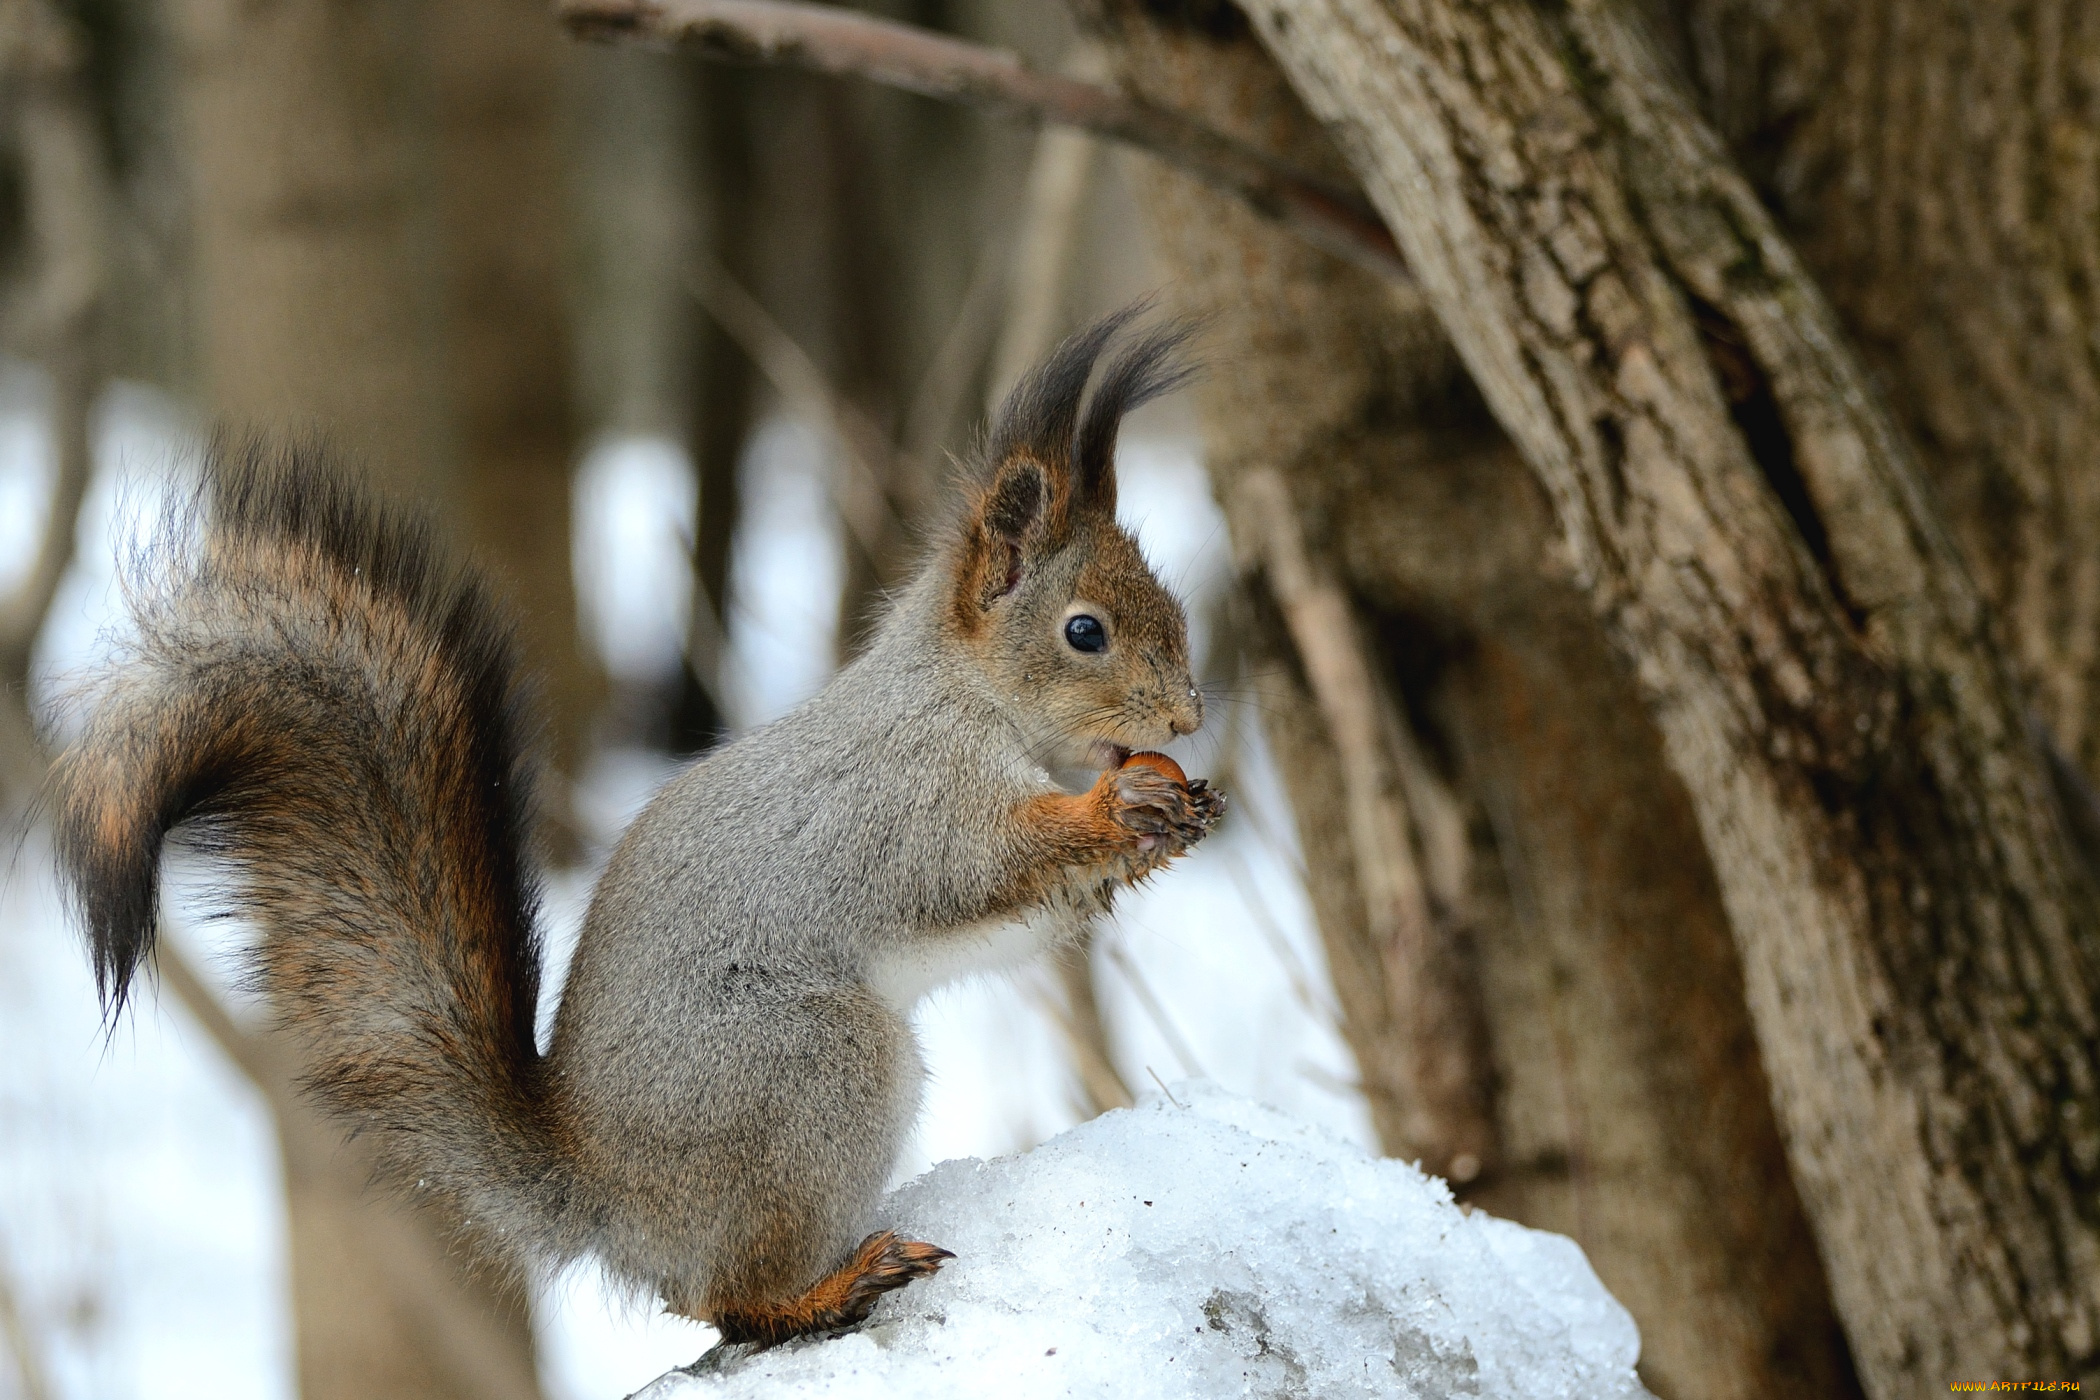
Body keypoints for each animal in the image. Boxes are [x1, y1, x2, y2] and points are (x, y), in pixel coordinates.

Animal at [49, 308, 1226, 1343]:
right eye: (1085, 632)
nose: (1187, 717)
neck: (970, 696)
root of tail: (607, 1197)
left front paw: (1176, 810)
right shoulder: (905, 800)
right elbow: (981, 863)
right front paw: (1118, 805)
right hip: (810, 1069)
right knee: (726, 1298)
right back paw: (826, 1288)